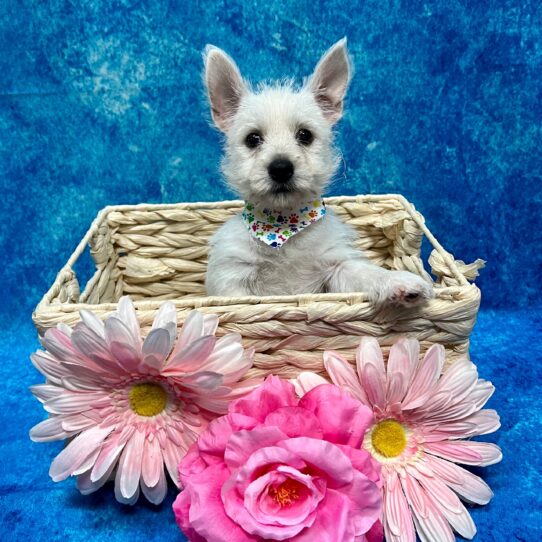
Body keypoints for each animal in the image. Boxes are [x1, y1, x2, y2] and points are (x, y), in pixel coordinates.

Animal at [202, 39, 436, 306]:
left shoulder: (337, 266)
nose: (281, 168)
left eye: (305, 135)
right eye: (252, 139)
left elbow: (364, 272)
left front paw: (399, 281)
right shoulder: (231, 280)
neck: (283, 227)